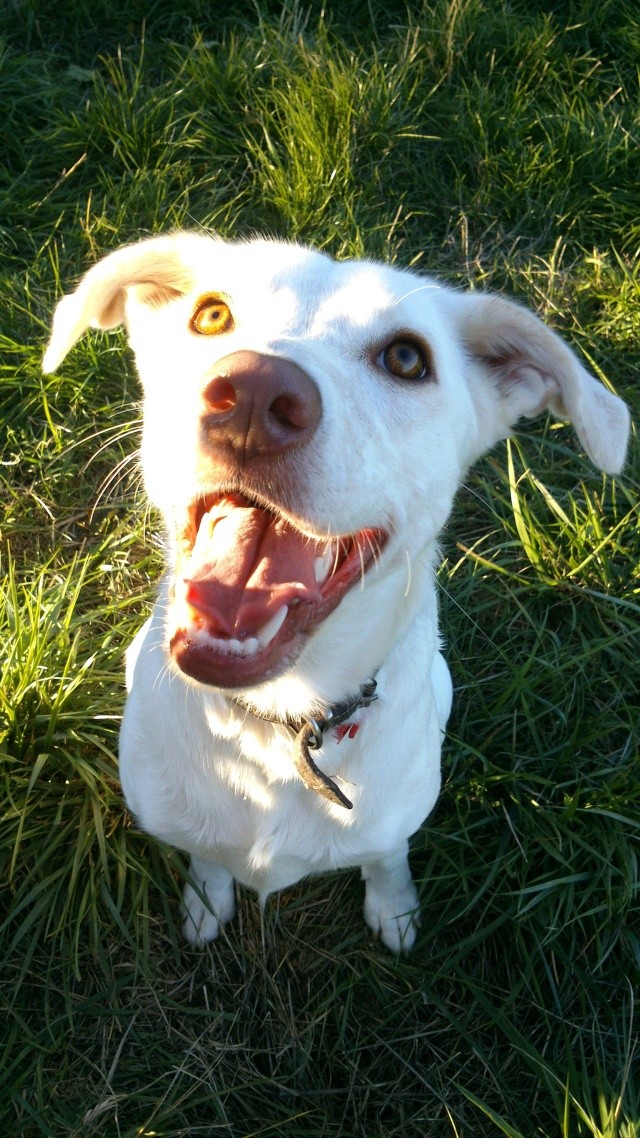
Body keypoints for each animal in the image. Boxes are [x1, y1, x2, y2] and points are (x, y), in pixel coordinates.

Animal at [43, 235, 628, 955]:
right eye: (212, 314)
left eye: (407, 358)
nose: (253, 394)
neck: (279, 721)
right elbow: (206, 857)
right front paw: (207, 899)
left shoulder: (388, 827)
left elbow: (387, 858)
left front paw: (395, 910)